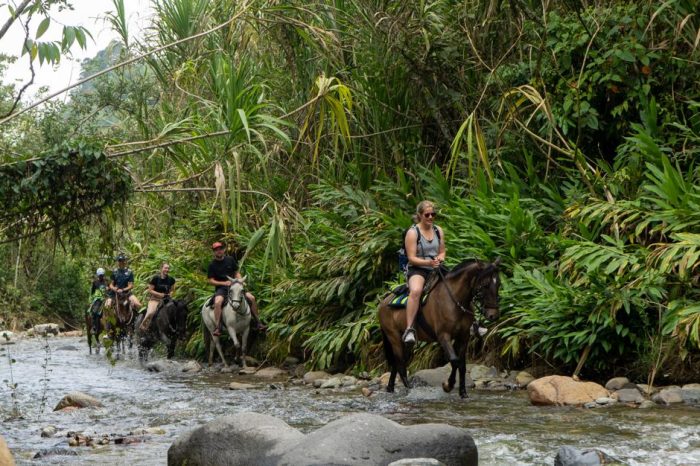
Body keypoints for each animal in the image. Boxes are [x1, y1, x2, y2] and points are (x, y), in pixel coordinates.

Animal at [380, 258, 500, 396]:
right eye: (485, 284)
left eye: (498, 284)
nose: (493, 315)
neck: (454, 300)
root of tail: (382, 303)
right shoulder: (443, 336)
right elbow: (454, 360)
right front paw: (448, 385)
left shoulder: (463, 337)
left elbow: (462, 365)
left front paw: (463, 392)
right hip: (393, 336)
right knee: (399, 361)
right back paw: (407, 385)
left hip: (406, 343)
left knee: (397, 361)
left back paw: (391, 388)